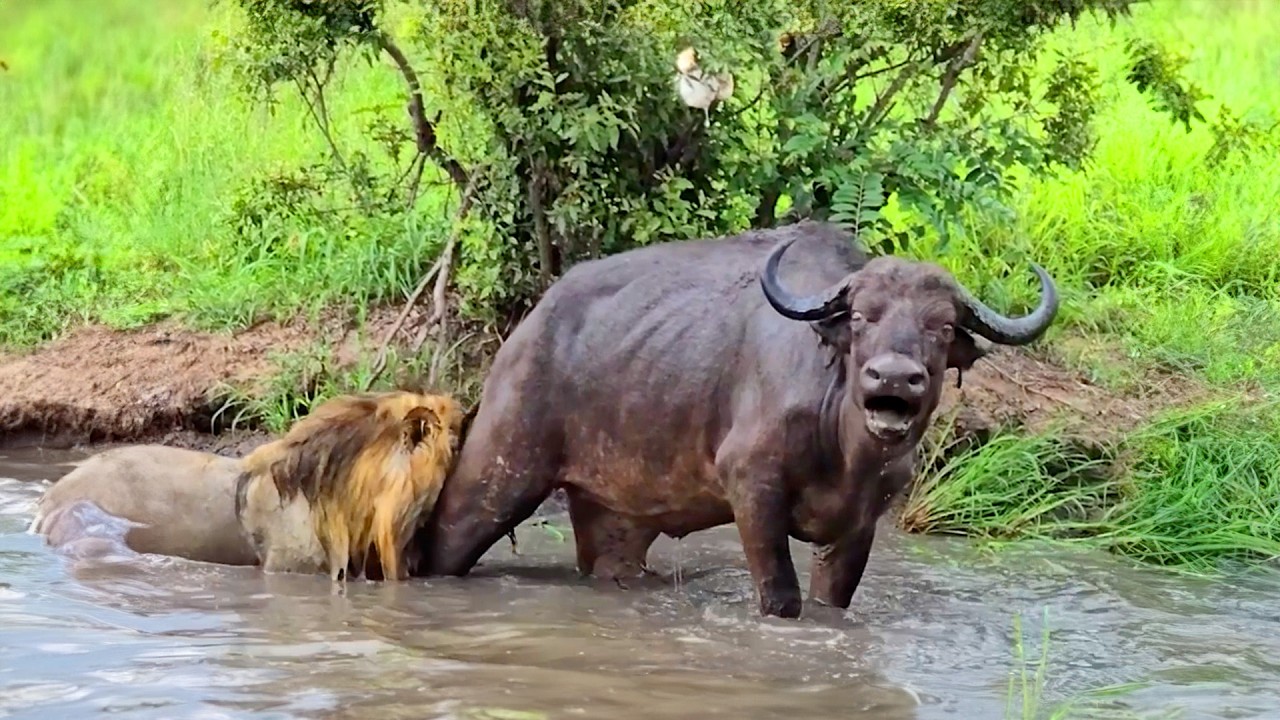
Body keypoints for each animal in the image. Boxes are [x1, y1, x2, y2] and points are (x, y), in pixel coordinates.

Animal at [416, 221, 1058, 618]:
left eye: (942, 326)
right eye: (861, 317)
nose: (894, 378)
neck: (843, 442)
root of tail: (532, 324)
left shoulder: (864, 522)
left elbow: (832, 601)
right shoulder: (752, 487)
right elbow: (781, 596)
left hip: (615, 519)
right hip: (501, 467)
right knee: (446, 537)